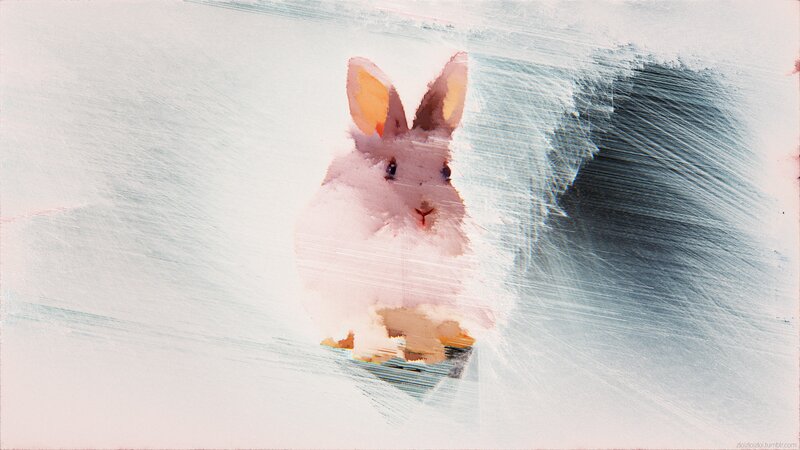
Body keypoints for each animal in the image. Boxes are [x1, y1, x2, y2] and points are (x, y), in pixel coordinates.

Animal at [295, 52, 490, 364]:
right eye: (391, 168)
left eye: (446, 172)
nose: (425, 211)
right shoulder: (356, 292)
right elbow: (369, 323)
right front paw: (376, 353)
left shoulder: (426, 298)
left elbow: (421, 324)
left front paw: (427, 354)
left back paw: (458, 336)